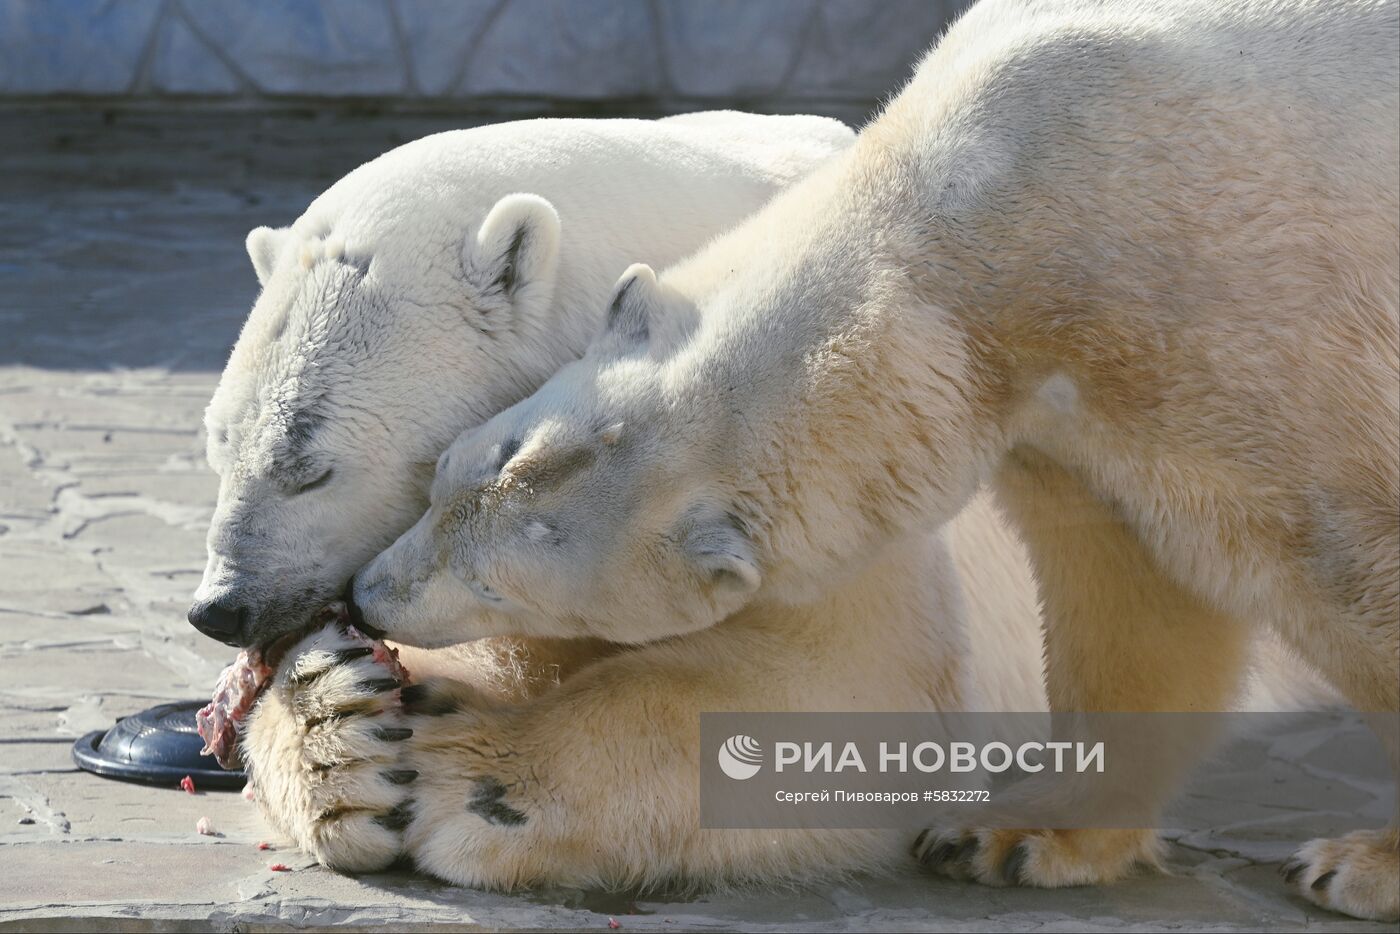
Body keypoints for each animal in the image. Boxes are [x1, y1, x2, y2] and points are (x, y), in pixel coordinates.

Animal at [358, 0, 1400, 918]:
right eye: (453, 473)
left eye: (504, 589)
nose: (368, 598)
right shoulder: (1060, 394)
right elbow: (1127, 585)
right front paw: (1019, 832)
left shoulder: (1232, 315)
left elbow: (1331, 555)